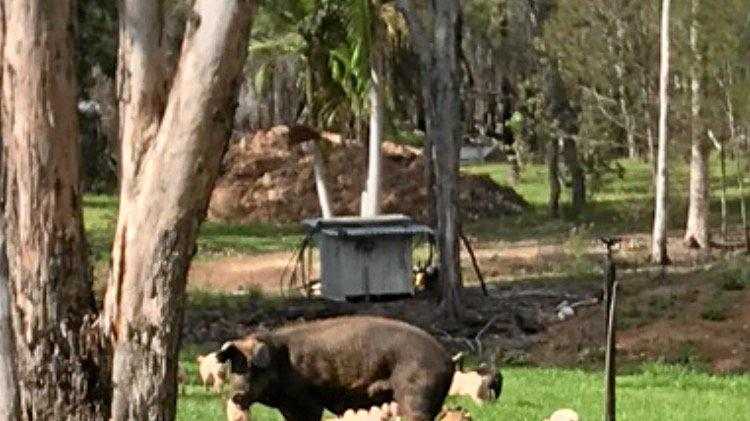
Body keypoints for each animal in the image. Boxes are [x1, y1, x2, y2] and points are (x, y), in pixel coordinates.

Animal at [214, 316, 456, 420]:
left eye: (254, 367)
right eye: (234, 368)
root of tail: (447, 359)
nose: (236, 394)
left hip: (417, 393)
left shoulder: (307, 402)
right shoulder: (288, 406)